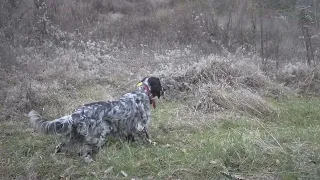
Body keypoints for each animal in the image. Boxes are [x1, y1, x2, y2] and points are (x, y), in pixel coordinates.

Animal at [27, 76, 164, 162]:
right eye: (160, 84)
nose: (164, 90)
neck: (142, 92)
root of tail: (74, 115)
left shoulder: (129, 127)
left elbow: (130, 137)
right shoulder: (140, 126)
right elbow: (147, 137)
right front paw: (153, 144)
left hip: (72, 136)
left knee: (59, 146)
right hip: (99, 135)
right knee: (84, 152)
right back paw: (91, 161)